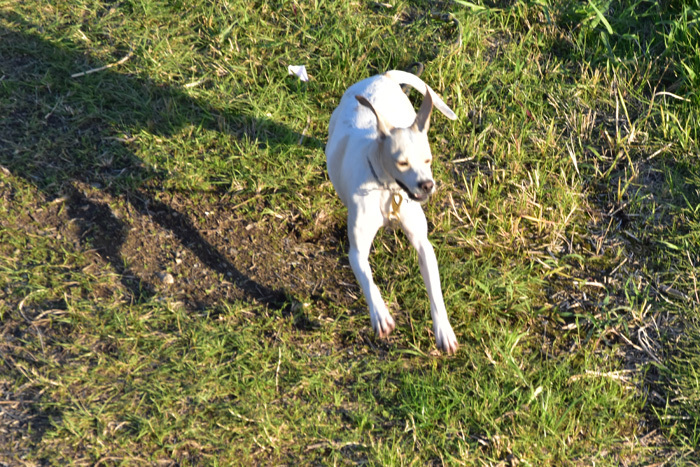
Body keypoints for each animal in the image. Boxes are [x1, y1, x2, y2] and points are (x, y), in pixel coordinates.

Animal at [326, 70, 460, 354]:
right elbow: (368, 280)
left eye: (428, 160)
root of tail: (382, 75)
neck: (388, 190)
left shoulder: (423, 245)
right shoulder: (356, 252)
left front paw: (443, 330)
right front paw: (380, 315)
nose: (427, 185)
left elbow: (435, 292)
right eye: (402, 163)